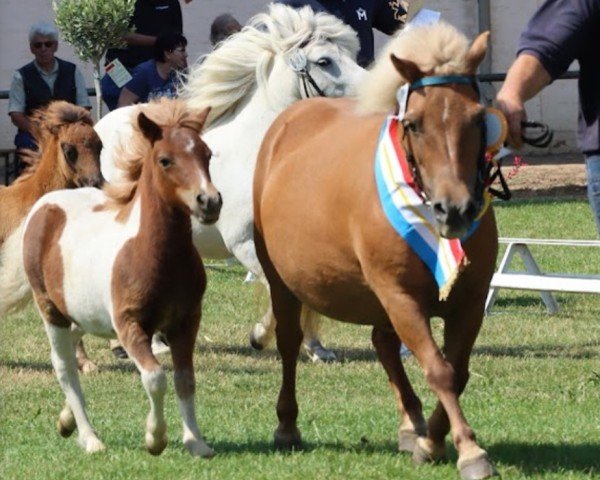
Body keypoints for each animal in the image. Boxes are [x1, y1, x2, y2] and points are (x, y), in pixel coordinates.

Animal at [21, 99, 223, 456]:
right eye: (165, 160)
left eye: (207, 154)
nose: (209, 202)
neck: (155, 254)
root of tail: (46, 204)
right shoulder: (130, 325)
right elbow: (155, 377)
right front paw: (155, 438)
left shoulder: (186, 322)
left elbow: (185, 379)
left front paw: (197, 442)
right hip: (51, 310)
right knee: (64, 367)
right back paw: (89, 438)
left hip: (82, 312)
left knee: (73, 344)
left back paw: (67, 420)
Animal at [255, 22, 500, 480]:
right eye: (415, 124)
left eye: (478, 118)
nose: (455, 209)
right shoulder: (400, 297)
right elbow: (439, 370)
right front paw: (469, 451)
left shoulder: (470, 302)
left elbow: (456, 372)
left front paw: (431, 440)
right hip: (283, 282)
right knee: (290, 341)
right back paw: (286, 426)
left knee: (383, 344)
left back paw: (411, 425)